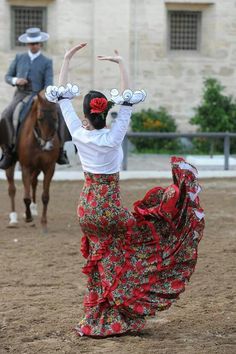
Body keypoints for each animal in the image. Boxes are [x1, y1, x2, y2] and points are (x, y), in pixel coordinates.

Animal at [4, 91, 60, 232]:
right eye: (40, 118)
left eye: (56, 118)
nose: (48, 146)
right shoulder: (26, 167)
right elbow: (26, 197)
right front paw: (28, 218)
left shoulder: (49, 168)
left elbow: (45, 196)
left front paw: (44, 223)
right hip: (11, 164)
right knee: (12, 189)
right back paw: (14, 219)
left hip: (37, 167)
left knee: (33, 182)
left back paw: (32, 210)